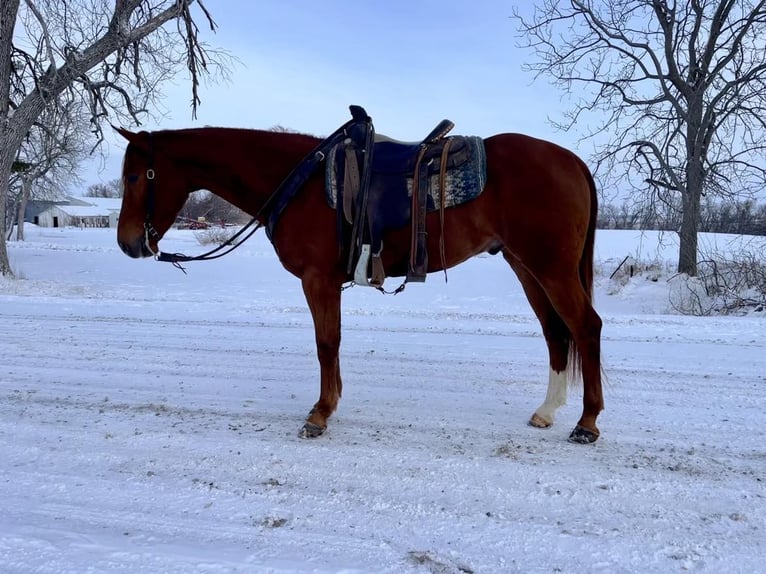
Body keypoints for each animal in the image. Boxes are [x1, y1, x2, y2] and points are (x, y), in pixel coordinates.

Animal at [115, 116, 608, 446]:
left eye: (137, 175)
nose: (127, 244)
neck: (300, 180)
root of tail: (573, 161)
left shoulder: (317, 280)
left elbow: (326, 343)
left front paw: (320, 414)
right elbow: (331, 343)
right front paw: (328, 404)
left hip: (550, 267)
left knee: (585, 327)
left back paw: (587, 423)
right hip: (526, 266)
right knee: (555, 332)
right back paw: (547, 411)